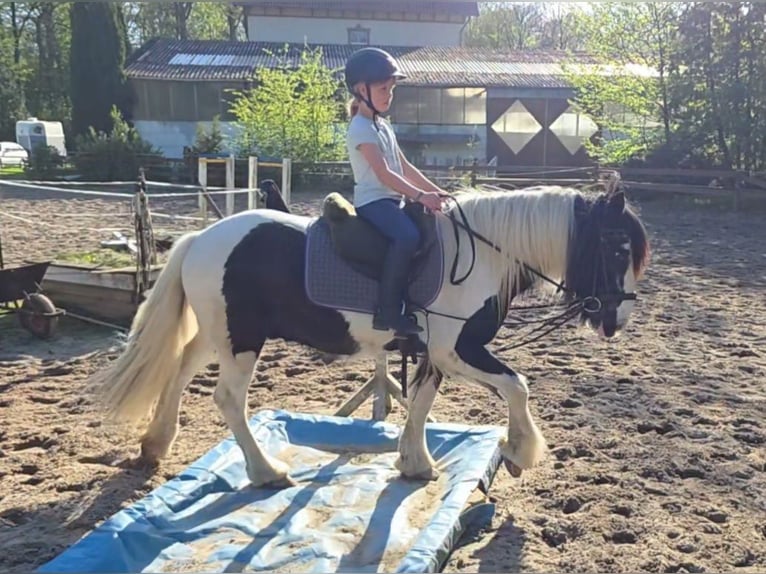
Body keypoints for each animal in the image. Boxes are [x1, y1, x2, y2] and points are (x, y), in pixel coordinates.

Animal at [89, 182, 650, 489]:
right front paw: (518, 450)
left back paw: (156, 444)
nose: (617, 318)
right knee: (228, 399)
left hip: (221, 333)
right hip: (243, 340)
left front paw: (414, 462)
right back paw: (266, 471)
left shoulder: (433, 353)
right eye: (618, 247)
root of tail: (203, 237)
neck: (484, 256)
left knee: (181, 367)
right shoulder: (457, 349)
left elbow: (421, 402)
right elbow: (517, 386)